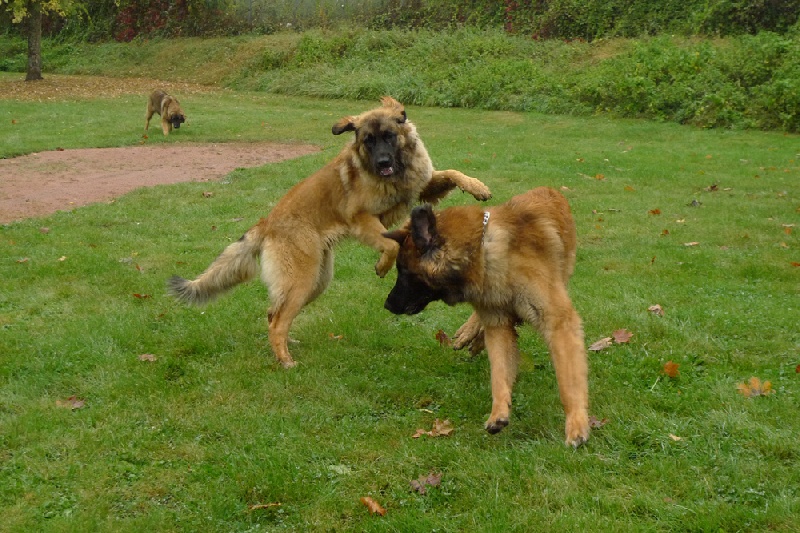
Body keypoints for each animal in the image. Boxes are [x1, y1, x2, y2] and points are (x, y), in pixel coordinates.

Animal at [384, 187, 592, 444]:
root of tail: (549, 189)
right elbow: (499, 372)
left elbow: (568, 381)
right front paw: (498, 413)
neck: (483, 251)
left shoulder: (558, 322)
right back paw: (471, 335)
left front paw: (576, 423)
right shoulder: (498, 323)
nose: (387, 304)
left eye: (404, 272)